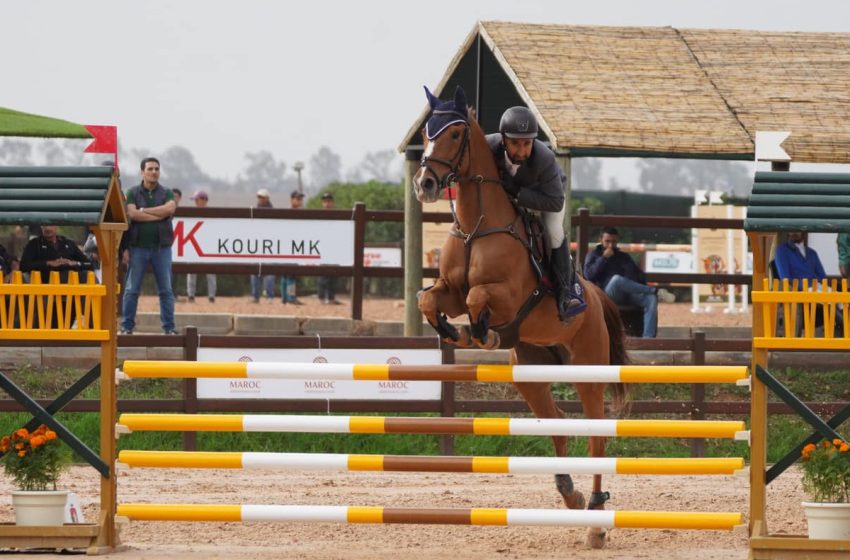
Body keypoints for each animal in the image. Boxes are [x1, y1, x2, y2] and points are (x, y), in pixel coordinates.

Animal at [414, 87, 628, 548]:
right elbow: (429, 300)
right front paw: (452, 332)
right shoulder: (449, 290)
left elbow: (479, 296)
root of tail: (596, 295)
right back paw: (570, 493)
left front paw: (482, 334)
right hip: (531, 370)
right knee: (558, 422)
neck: (477, 225)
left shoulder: (508, 298)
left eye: (454, 133)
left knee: (597, 433)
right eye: (426, 131)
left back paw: (596, 518)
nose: (424, 184)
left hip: (588, 368)